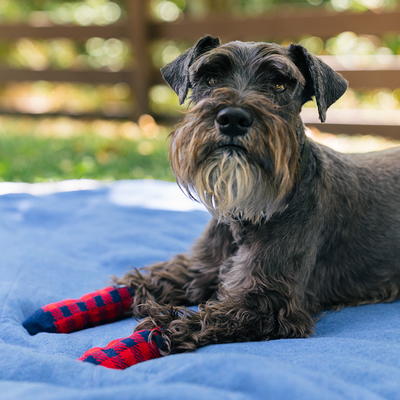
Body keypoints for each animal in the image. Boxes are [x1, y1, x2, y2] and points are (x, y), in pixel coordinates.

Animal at [115, 34, 400, 354]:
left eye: (279, 84)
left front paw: (163, 324)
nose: (232, 118)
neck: (247, 212)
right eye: (210, 78)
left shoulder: (267, 301)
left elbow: (203, 317)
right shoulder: (201, 267)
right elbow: (152, 280)